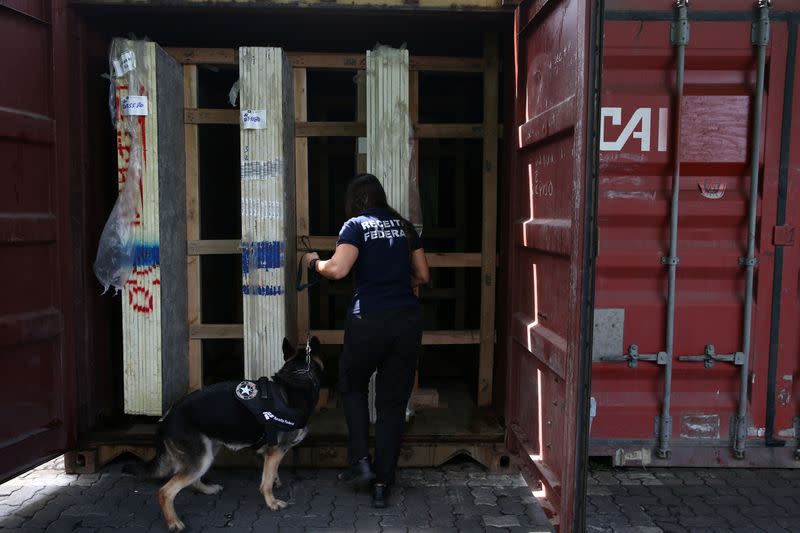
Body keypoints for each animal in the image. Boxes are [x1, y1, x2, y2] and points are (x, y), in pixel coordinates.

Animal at [125, 336, 322, 528]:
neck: (298, 377)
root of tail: (167, 416)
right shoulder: (277, 450)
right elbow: (265, 482)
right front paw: (271, 502)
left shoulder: (269, 452)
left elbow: (270, 473)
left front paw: (275, 481)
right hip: (201, 458)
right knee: (165, 492)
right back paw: (173, 522)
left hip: (208, 452)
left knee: (193, 481)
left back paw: (207, 490)